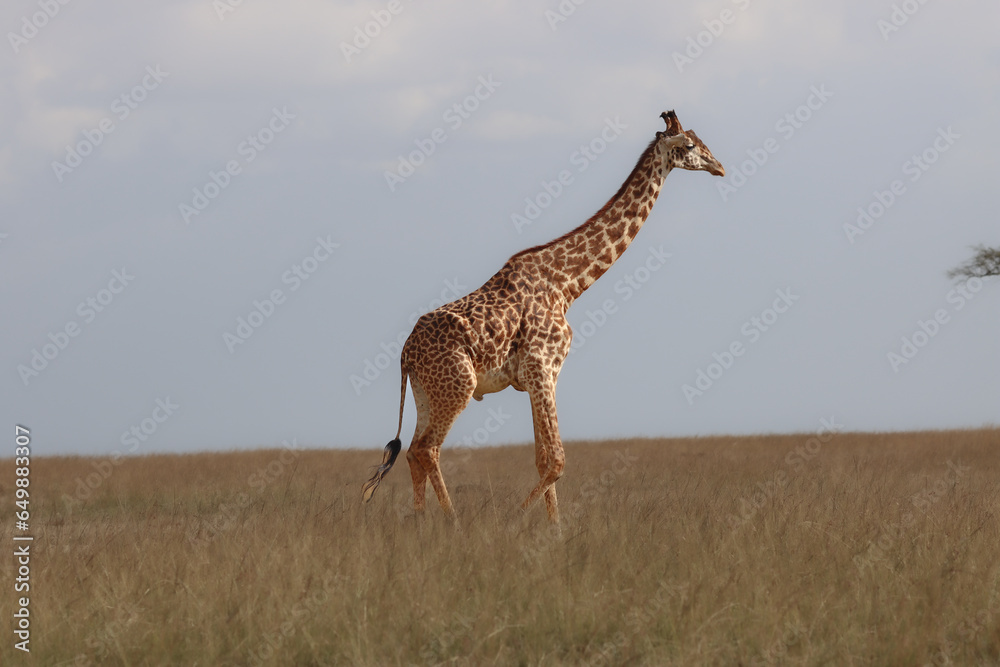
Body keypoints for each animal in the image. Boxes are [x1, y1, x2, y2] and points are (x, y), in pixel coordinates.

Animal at [362, 110, 725, 523]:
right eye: (690, 145)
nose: (720, 167)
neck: (568, 284)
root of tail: (405, 353)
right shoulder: (542, 368)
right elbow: (556, 460)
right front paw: (515, 521)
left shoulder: (539, 375)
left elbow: (543, 460)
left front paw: (554, 529)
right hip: (458, 385)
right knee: (427, 448)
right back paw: (451, 521)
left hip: (427, 390)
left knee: (412, 451)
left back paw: (421, 521)